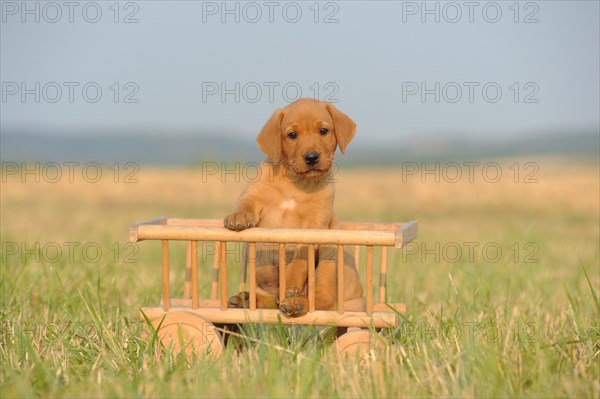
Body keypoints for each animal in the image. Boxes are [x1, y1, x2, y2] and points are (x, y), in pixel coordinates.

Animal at [225, 98, 364, 318]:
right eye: (292, 135)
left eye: (323, 131)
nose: (312, 157)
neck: (296, 182)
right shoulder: (254, 195)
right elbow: (246, 203)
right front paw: (238, 216)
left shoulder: (314, 226)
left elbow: (298, 262)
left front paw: (290, 286)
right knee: (271, 300)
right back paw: (245, 300)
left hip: (330, 257)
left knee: (321, 301)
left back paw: (297, 302)